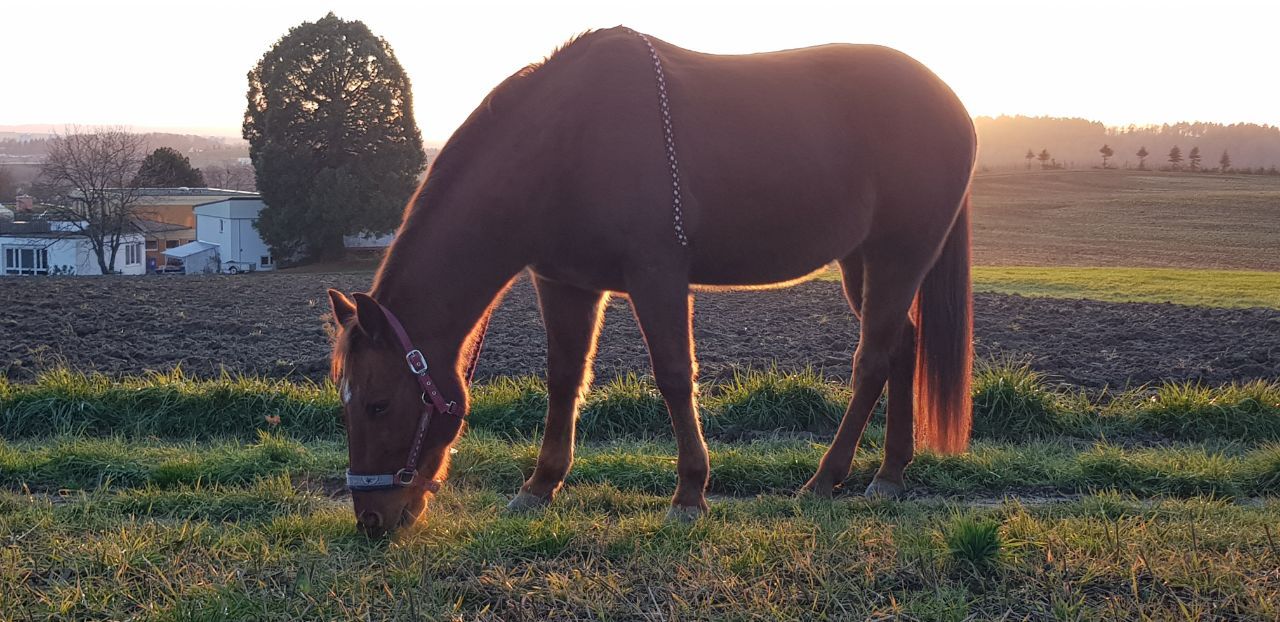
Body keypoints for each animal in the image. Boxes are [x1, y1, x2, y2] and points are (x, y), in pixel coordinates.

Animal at [328, 26, 975, 536]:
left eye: (380, 404)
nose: (372, 520)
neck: (566, 143)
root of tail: (954, 104)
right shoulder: (564, 283)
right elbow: (564, 379)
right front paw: (539, 486)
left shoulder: (657, 275)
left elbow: (673, 376)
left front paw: (689, 493)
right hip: (861, 261)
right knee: (902, 344)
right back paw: (890, 474)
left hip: (898, 254)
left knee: (872, 359)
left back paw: (825, 480)